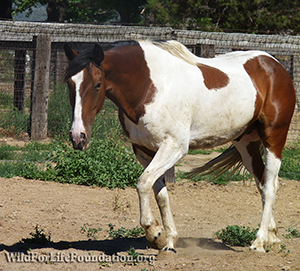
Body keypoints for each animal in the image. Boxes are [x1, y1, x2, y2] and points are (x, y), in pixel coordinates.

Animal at [63, 39, 296, 254]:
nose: (78, 137)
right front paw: (168, 241)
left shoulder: (174, 147)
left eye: (97, 84)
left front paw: (153, 232)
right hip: (246, 143)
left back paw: (259, 242)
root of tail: (274, 65)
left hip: (274, 138)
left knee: (269, 186)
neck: (150, 86)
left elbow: (143, 183)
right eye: (69, 84)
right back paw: (271, 237)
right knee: (263, 182)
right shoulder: (143, 150)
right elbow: (160, 193)